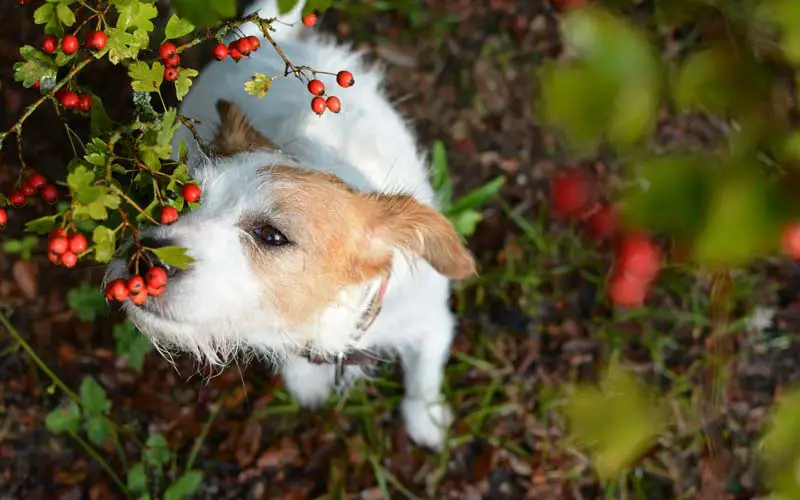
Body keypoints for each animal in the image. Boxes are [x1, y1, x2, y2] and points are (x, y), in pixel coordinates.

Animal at [105, 0, 478, 450]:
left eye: (272, 236)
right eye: (185, 198)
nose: (144, 260)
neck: (330, 327)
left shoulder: (431, 321)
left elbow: (425, 375)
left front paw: (427, 418)